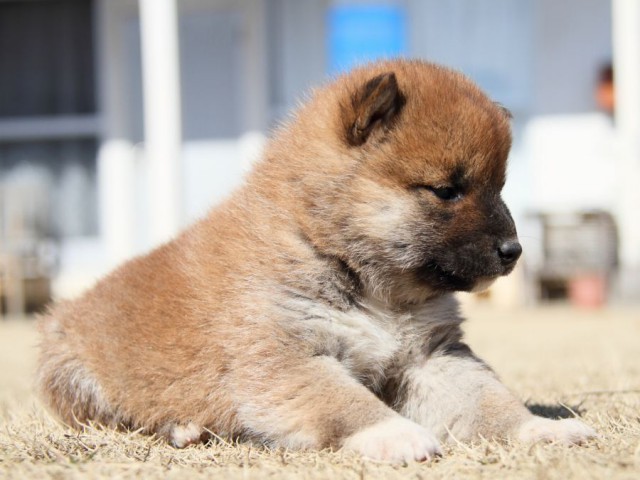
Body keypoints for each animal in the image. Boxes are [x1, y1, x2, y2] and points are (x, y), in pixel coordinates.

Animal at [35, 59, 596, 462]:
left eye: (498, 187)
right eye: (446, 190)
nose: (514, 251)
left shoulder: (431, 357)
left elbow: (490, 400)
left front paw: (541, 426)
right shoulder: (288, 358)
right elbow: (347, 404)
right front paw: (398, 435)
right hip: (72, 376)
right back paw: (184, 427)